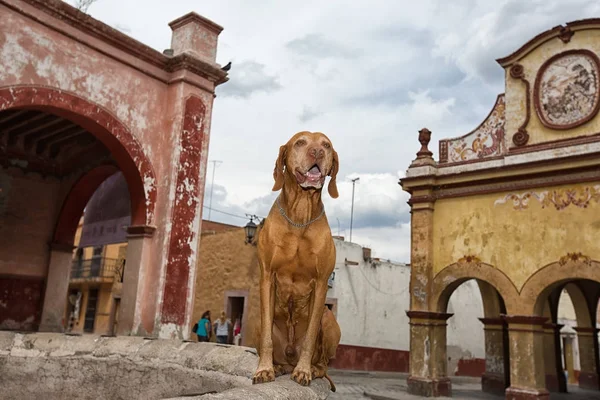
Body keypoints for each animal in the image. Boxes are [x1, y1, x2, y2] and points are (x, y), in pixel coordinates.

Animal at [251, 130, 340, 390]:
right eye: (300, 142)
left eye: (326, 145)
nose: (317, 152)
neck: (300, 217)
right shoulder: (267, 277)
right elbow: (267, 338)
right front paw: (264, 369)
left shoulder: (321, 284)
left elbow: (310, 336)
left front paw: (303, 371)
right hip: (257, 321)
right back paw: (278, 366)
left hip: (329, 319)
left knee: (324, 362)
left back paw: (312, 369)